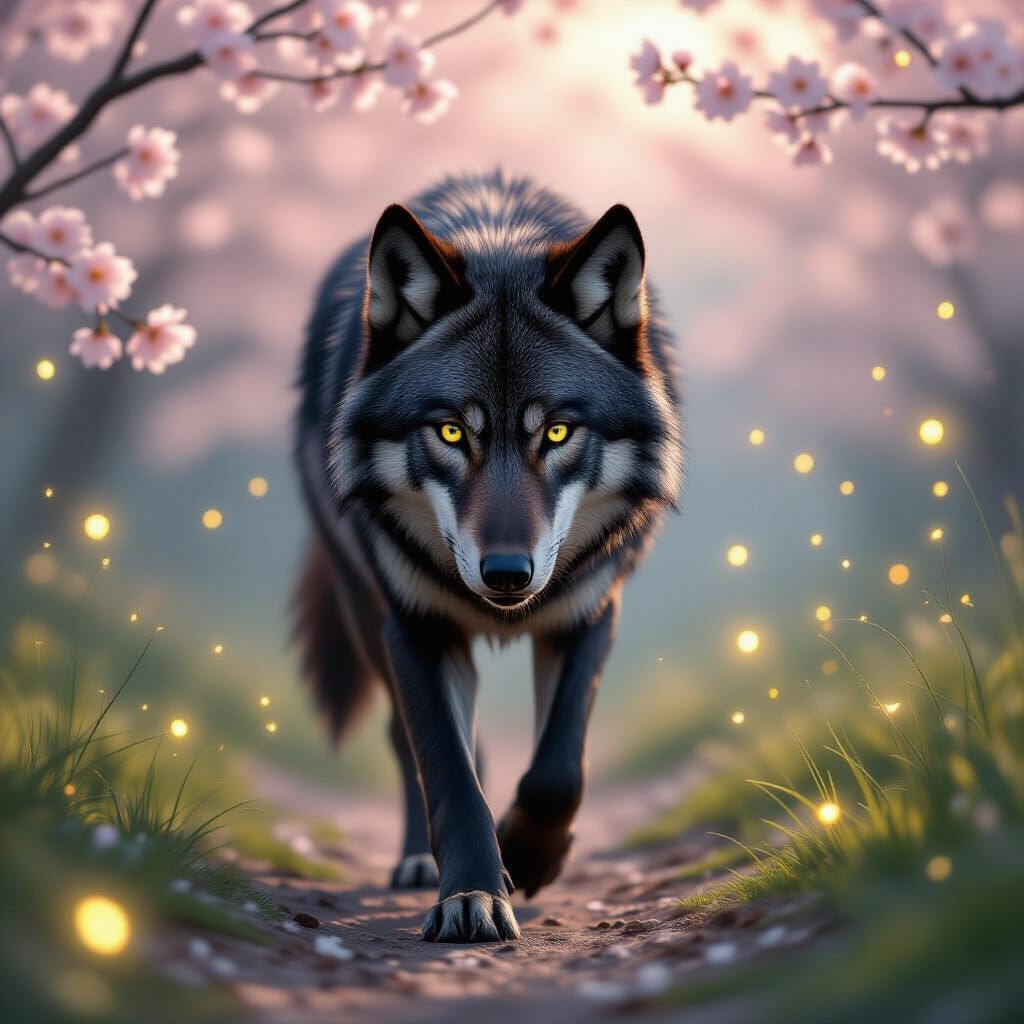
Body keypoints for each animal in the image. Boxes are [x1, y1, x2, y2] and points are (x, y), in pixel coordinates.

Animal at [294, 171, 683, 943]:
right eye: (451, 432)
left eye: (557, 432)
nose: (507, 573)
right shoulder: (415, 627)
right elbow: (446, 767)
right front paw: (472, 891)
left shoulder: (590, 611)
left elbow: (559, 769)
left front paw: (530, 857)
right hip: (368, 617)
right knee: (415, 742)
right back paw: (423, 860)